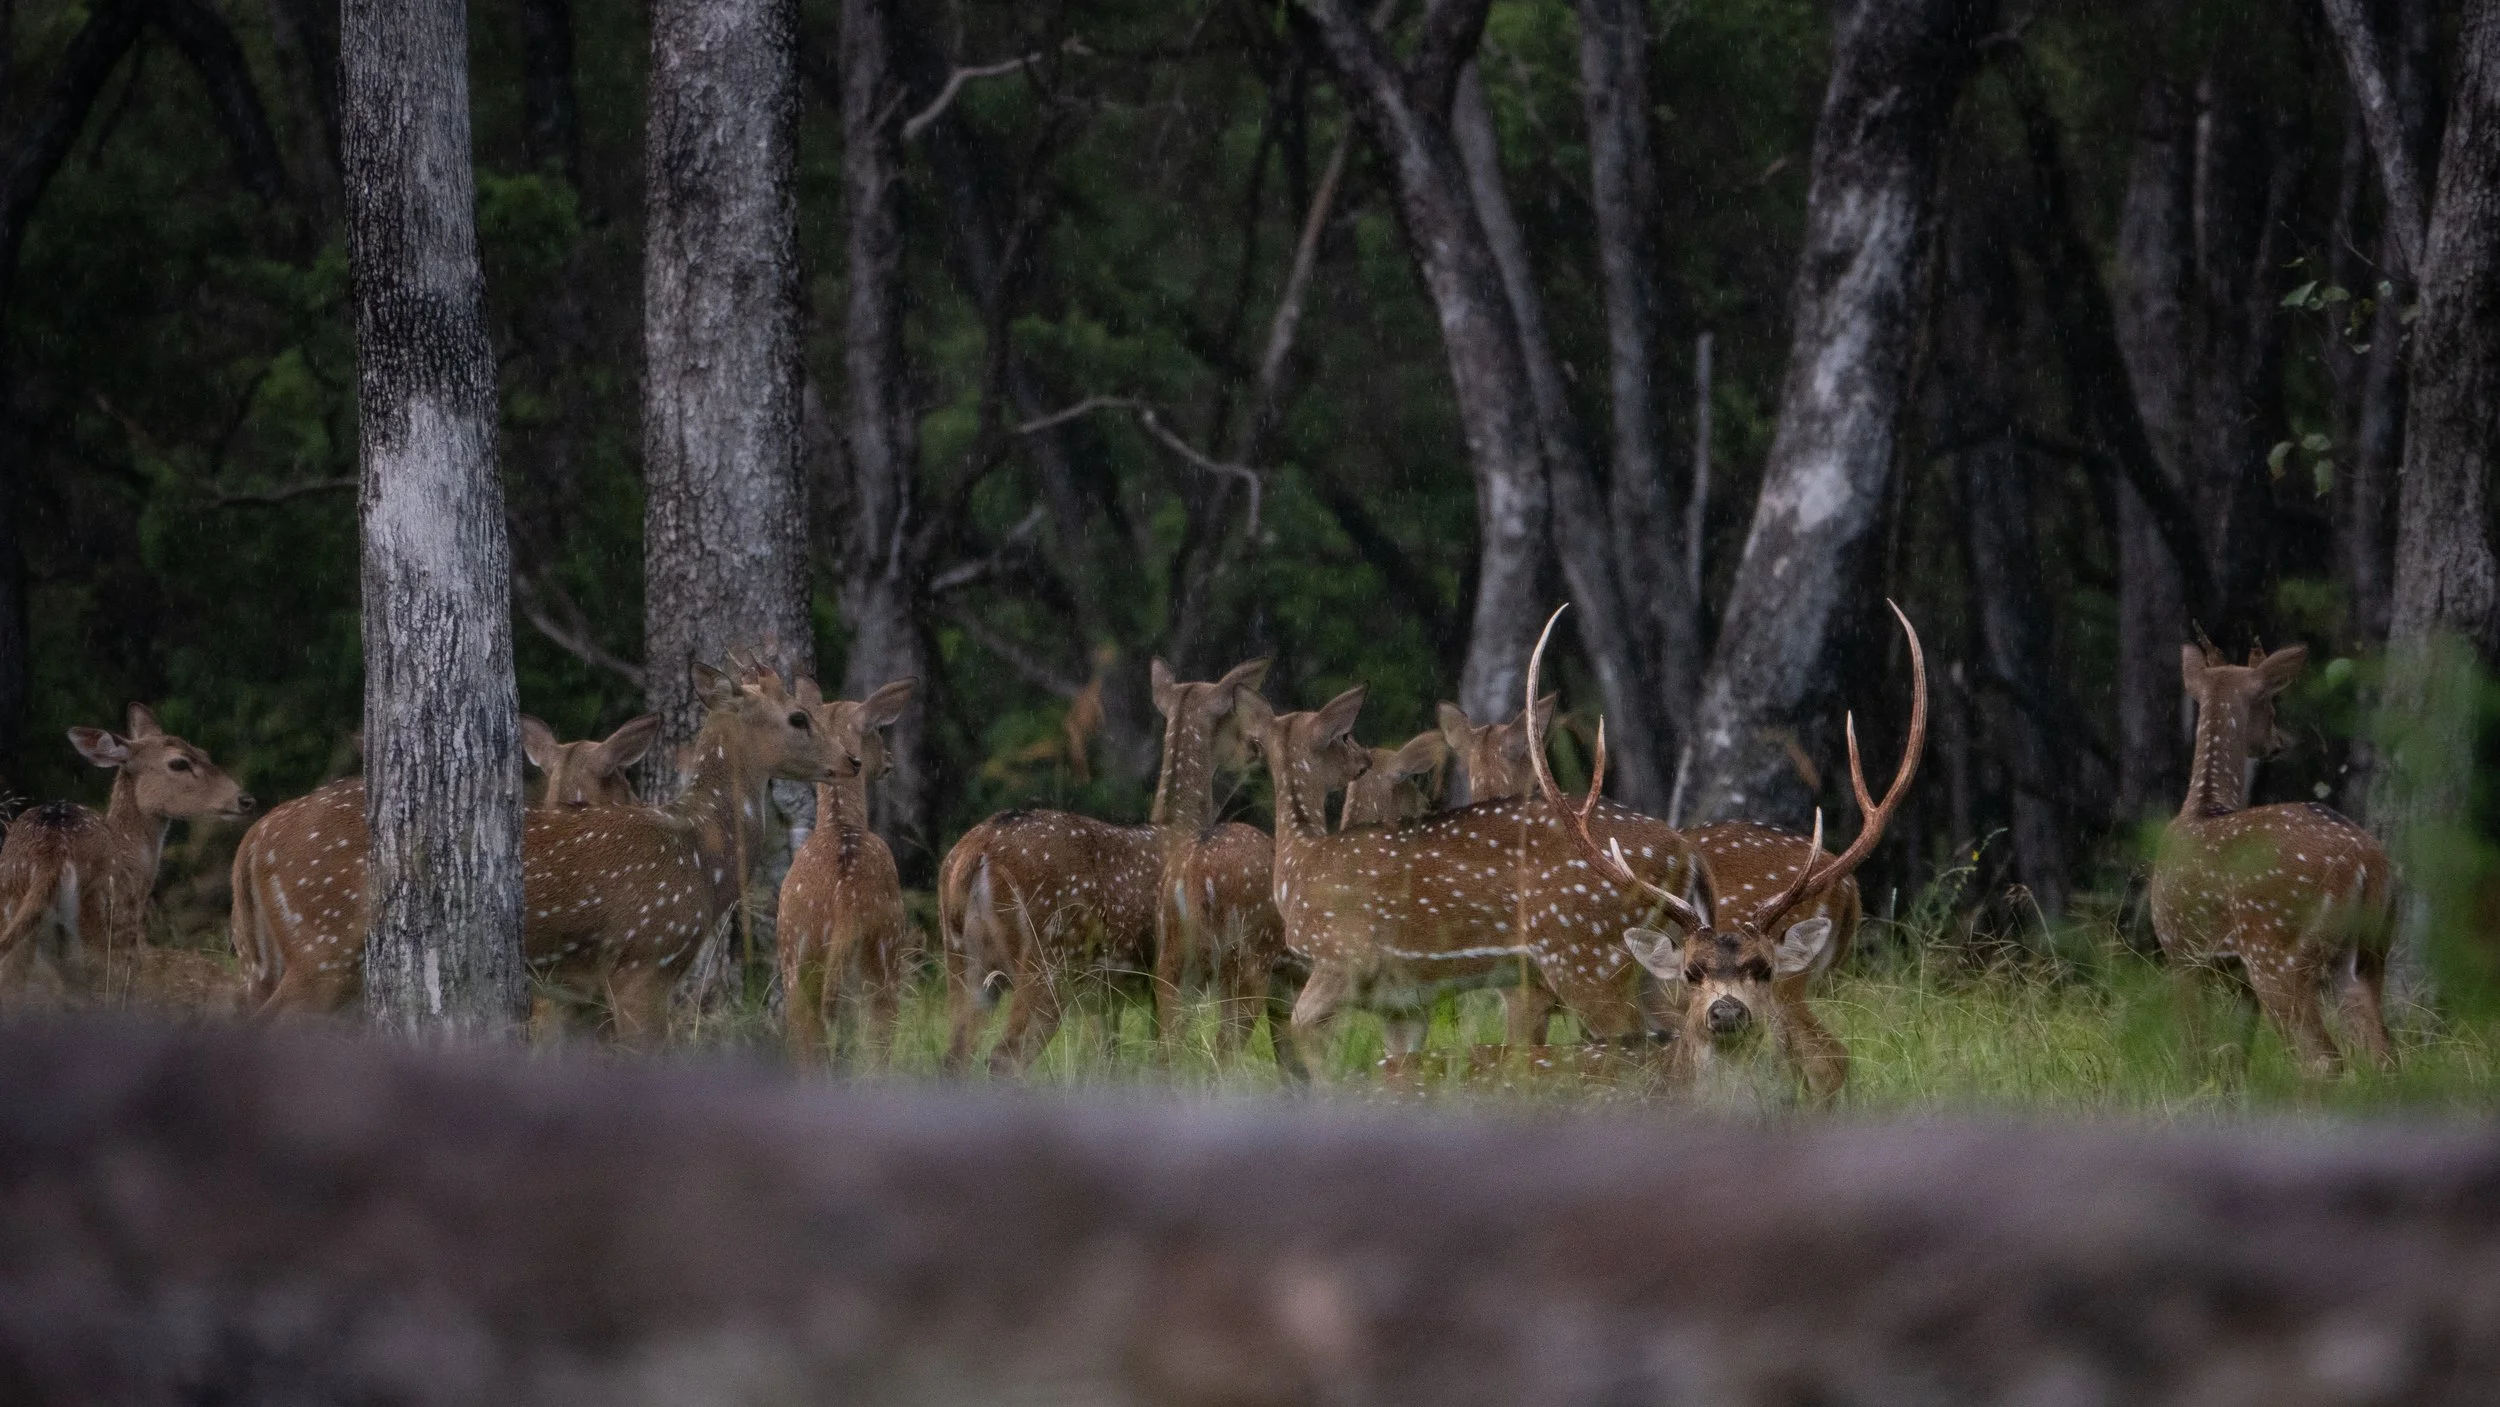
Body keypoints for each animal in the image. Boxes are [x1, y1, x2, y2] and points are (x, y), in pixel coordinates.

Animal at [776, 677, 916, 1065]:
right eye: (878, 731)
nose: (888, 760)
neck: (840, 823)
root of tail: (846, 910)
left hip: (799, 967)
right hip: (885, 960)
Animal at [938, 658, 1274, 1074]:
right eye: (1232, 715)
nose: (1255, 749)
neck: (1179, 826)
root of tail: (976, 854)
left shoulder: (1106, 998)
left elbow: (1107, 1058)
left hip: (961, 958)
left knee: (954, 1056)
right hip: (1050, 958)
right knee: (1005, 1057)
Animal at [1233, 678, 1704, 1078]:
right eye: (1346, 738)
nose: (1362, 762)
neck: (1298, 866)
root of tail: (1682, 853)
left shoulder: (1343, 955)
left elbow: (1306, 1041)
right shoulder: (1401, 1005)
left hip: (1586, 955)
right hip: (1644, 964)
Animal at [2150, 644, 2394, 1077]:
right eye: (2271, 705)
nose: (2279, 741)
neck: (2202, 807)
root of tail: (2365, 864)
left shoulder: (2179, 950)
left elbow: (2193, 1051)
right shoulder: (2236, 977)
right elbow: (2234, 1057)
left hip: (2277, 952)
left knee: (2322, 1059)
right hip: (2369, 953)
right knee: (2383, 1053)